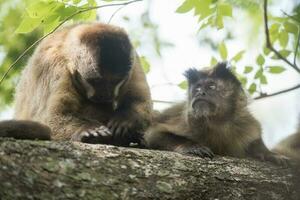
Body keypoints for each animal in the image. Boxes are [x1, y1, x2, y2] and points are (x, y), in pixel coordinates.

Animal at [4, 22, 154, 146]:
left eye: (114, 81)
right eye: (96, 81)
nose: (105, 95)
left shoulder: (134, 59)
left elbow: (141, 101)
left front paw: (125, 121)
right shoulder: (53, 64)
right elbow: (50, 119)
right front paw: (87, 129)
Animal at [144, 63, 290, 166]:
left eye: (211, 87)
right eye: (197, 88)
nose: (199, 93)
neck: (217, 123)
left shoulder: (248, 125)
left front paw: (269, 154)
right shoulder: (187, 122)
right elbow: (154, 134)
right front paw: (193, 146)